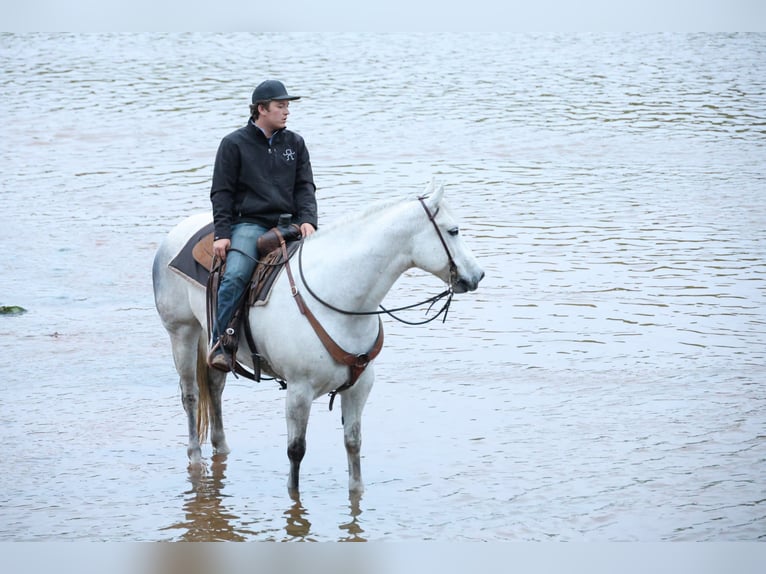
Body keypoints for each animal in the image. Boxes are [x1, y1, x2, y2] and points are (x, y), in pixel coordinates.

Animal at [152, 181, 484, 495]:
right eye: (453, 230)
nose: (477, 275)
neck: (340, 295)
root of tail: (177, 232)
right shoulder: (299, 390)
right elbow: (296, 451)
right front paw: (293, 495)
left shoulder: (360, 385)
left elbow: (353, 442)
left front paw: (357, 492)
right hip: (182, 331)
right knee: (191, 394)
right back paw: (195, 455)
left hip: (212, 337)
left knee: (215, 385)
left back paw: (222, 447)